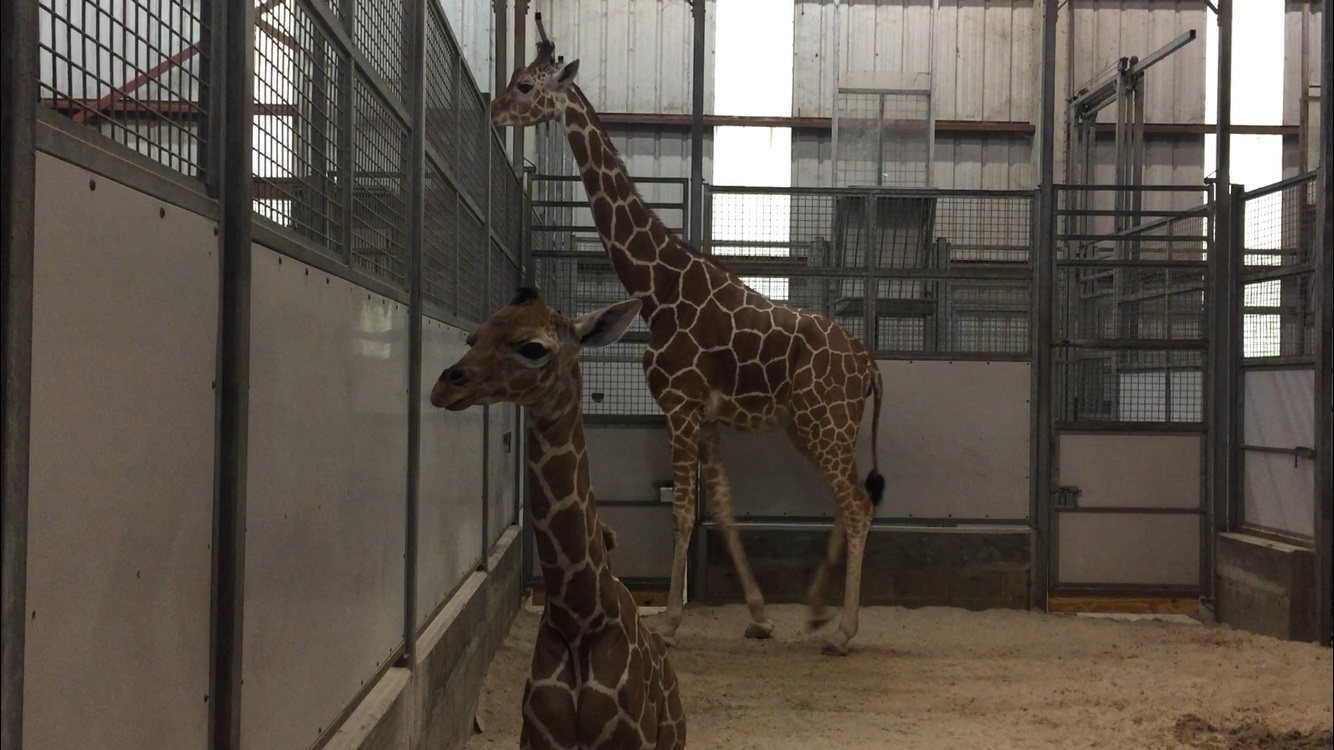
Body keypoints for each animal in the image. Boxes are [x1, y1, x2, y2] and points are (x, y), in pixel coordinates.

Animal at [430, 287, 686, 750]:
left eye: (533, 347)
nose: (445, 386)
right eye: (472, 338)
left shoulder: (631, 741)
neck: (579, 617)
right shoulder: (539, 738)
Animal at [490, 22, 885, 657]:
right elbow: (720, 508)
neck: (657, 286)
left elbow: (681, 512)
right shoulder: (706, 414)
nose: (495, 109)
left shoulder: (678, 404)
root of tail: (868, 362)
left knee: (857, 504)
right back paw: (815, 613)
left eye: (525, 84)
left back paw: (844, 632)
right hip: (811, 427)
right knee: (847, 502)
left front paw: (671, 621)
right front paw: (759, 615)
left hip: (824, 424)